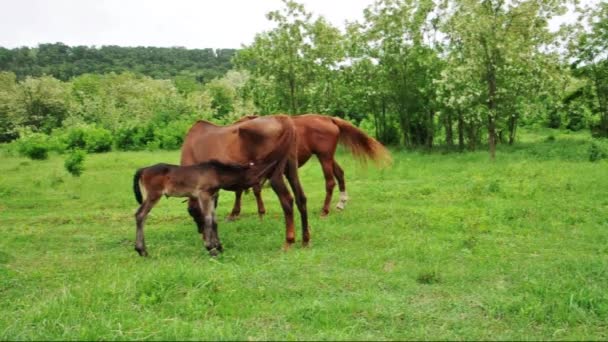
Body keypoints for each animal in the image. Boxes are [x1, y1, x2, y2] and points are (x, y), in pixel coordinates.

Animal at [134, 160, 276, 256]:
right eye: (256, 176)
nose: (262, 185)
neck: (217, 173)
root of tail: (143, 169)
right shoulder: (204, 195)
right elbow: (207, 219)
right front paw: (210, 248)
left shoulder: (212, 197)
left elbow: (214, 220)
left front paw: (219, 246)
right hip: (153, 195)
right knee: (140, 215)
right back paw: (141, 250)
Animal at [180, 114, 312, 248]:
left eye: (194, 212)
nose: (201, 233)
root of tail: (282, 118)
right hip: (291, 169)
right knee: (300, 198)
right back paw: (305, 240)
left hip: (275, 173)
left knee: (287, 201)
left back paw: (289, 241)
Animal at [227, 113, 390, 218]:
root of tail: (329, 119)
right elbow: (245, 190)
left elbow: (248, 190)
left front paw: (248, 212)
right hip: (328, 157)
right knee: (340, 174)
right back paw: (341, 203)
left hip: (324, 157)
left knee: (330, 182)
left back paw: (325, 210)